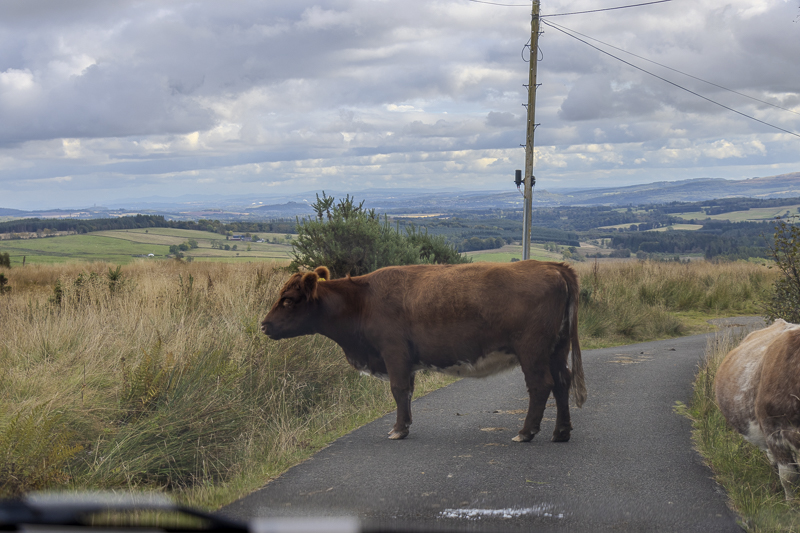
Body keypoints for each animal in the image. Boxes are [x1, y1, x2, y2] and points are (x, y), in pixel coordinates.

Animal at [262, 260, 588, 440]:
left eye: (288, 300)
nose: (264, 325)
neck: (362, 301)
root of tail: (552, 266)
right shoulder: (405, 359)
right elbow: (406, 392)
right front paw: (404, 425)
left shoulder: (393, 353)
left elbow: (398, 389)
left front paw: (398, 429)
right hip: (556, 349)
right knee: (562, 382)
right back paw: (561, 432)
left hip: (532, 350)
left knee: (541, 385)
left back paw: (526, 432)